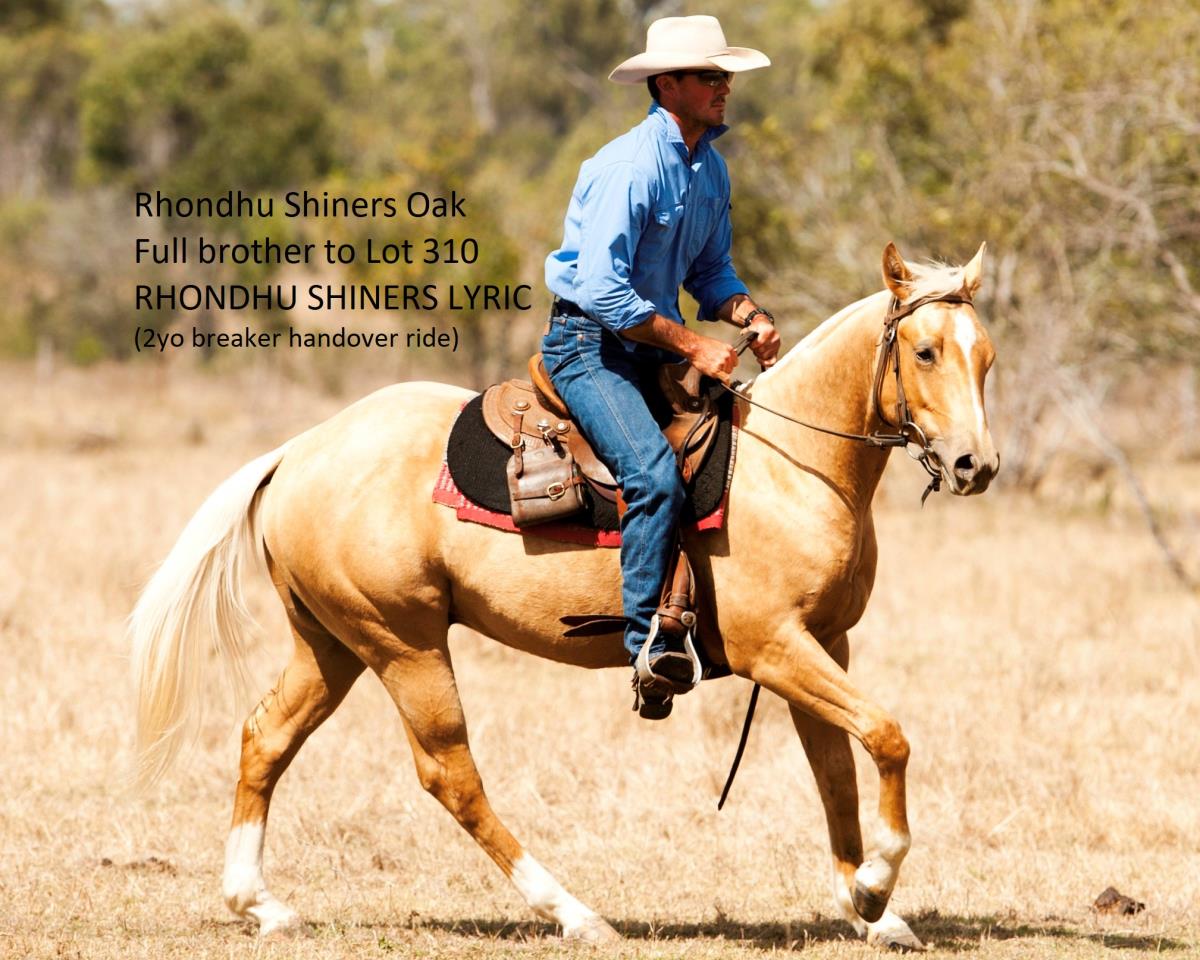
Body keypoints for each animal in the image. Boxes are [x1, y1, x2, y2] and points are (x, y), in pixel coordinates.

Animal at [131, 241, 998, 950]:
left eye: (985, 357)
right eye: (925, 351)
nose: (974, 464)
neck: (790, 465)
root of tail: (298, 451)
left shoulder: (824, 643)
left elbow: (837, 773)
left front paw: (871, 909)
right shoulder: (774, 648)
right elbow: (887, 737)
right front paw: (877, 883)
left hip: (333, 644)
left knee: (266, 737)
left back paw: (260, 904)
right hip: (405, 644)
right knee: (451, 775)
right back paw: (575, 913)